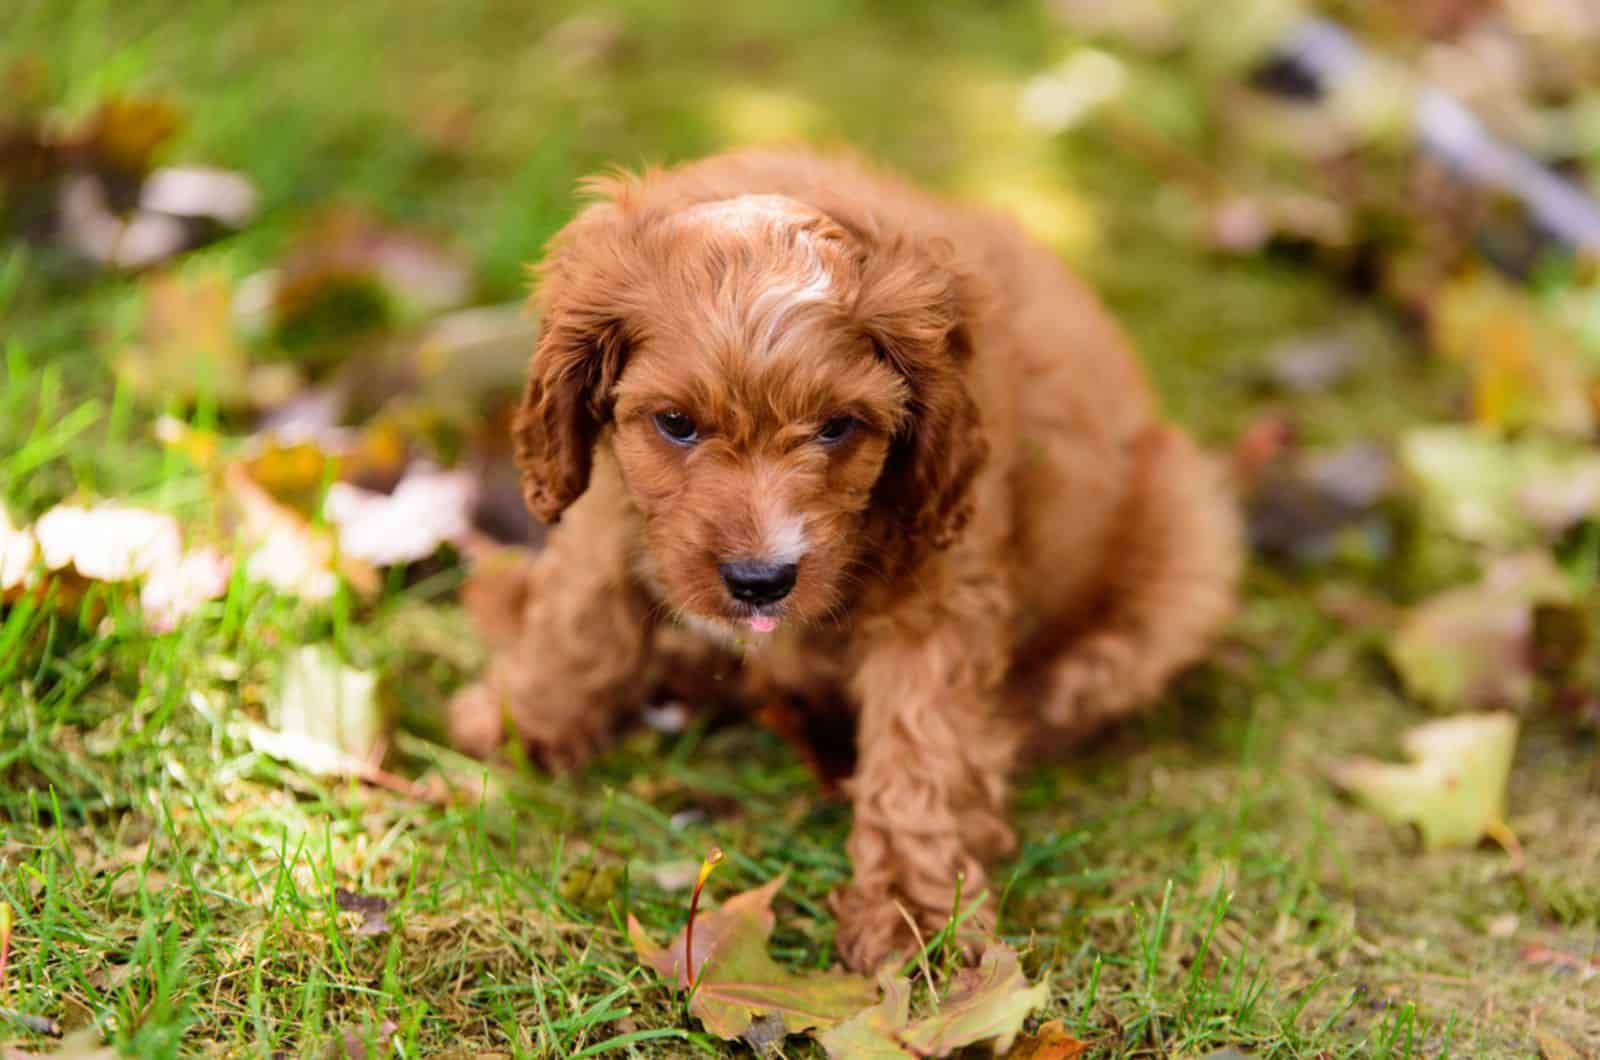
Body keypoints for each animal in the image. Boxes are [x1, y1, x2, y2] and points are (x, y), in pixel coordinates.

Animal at [451, 147, 1235, 973]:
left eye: (837, 427)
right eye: (675, 423)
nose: (761, 582)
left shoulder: (945, 584)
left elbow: (922, 747)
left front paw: (911, 910)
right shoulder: (613, 506)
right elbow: (581, 619)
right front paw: (522, 721)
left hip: (1187, 541)